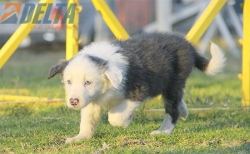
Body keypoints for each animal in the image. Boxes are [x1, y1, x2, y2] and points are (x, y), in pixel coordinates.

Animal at [47, 32, 226, 143]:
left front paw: (125, 122)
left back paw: (163, 131)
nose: (73, 101)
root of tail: (187, 45)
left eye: (88, 82)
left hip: (173, 83)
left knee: (172, 110)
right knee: (178, 101)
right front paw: (80, 137)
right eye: (69, 82)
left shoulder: (138, 90)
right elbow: (87, 121)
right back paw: (184, 111)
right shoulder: (92, 102)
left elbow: (115, 116)